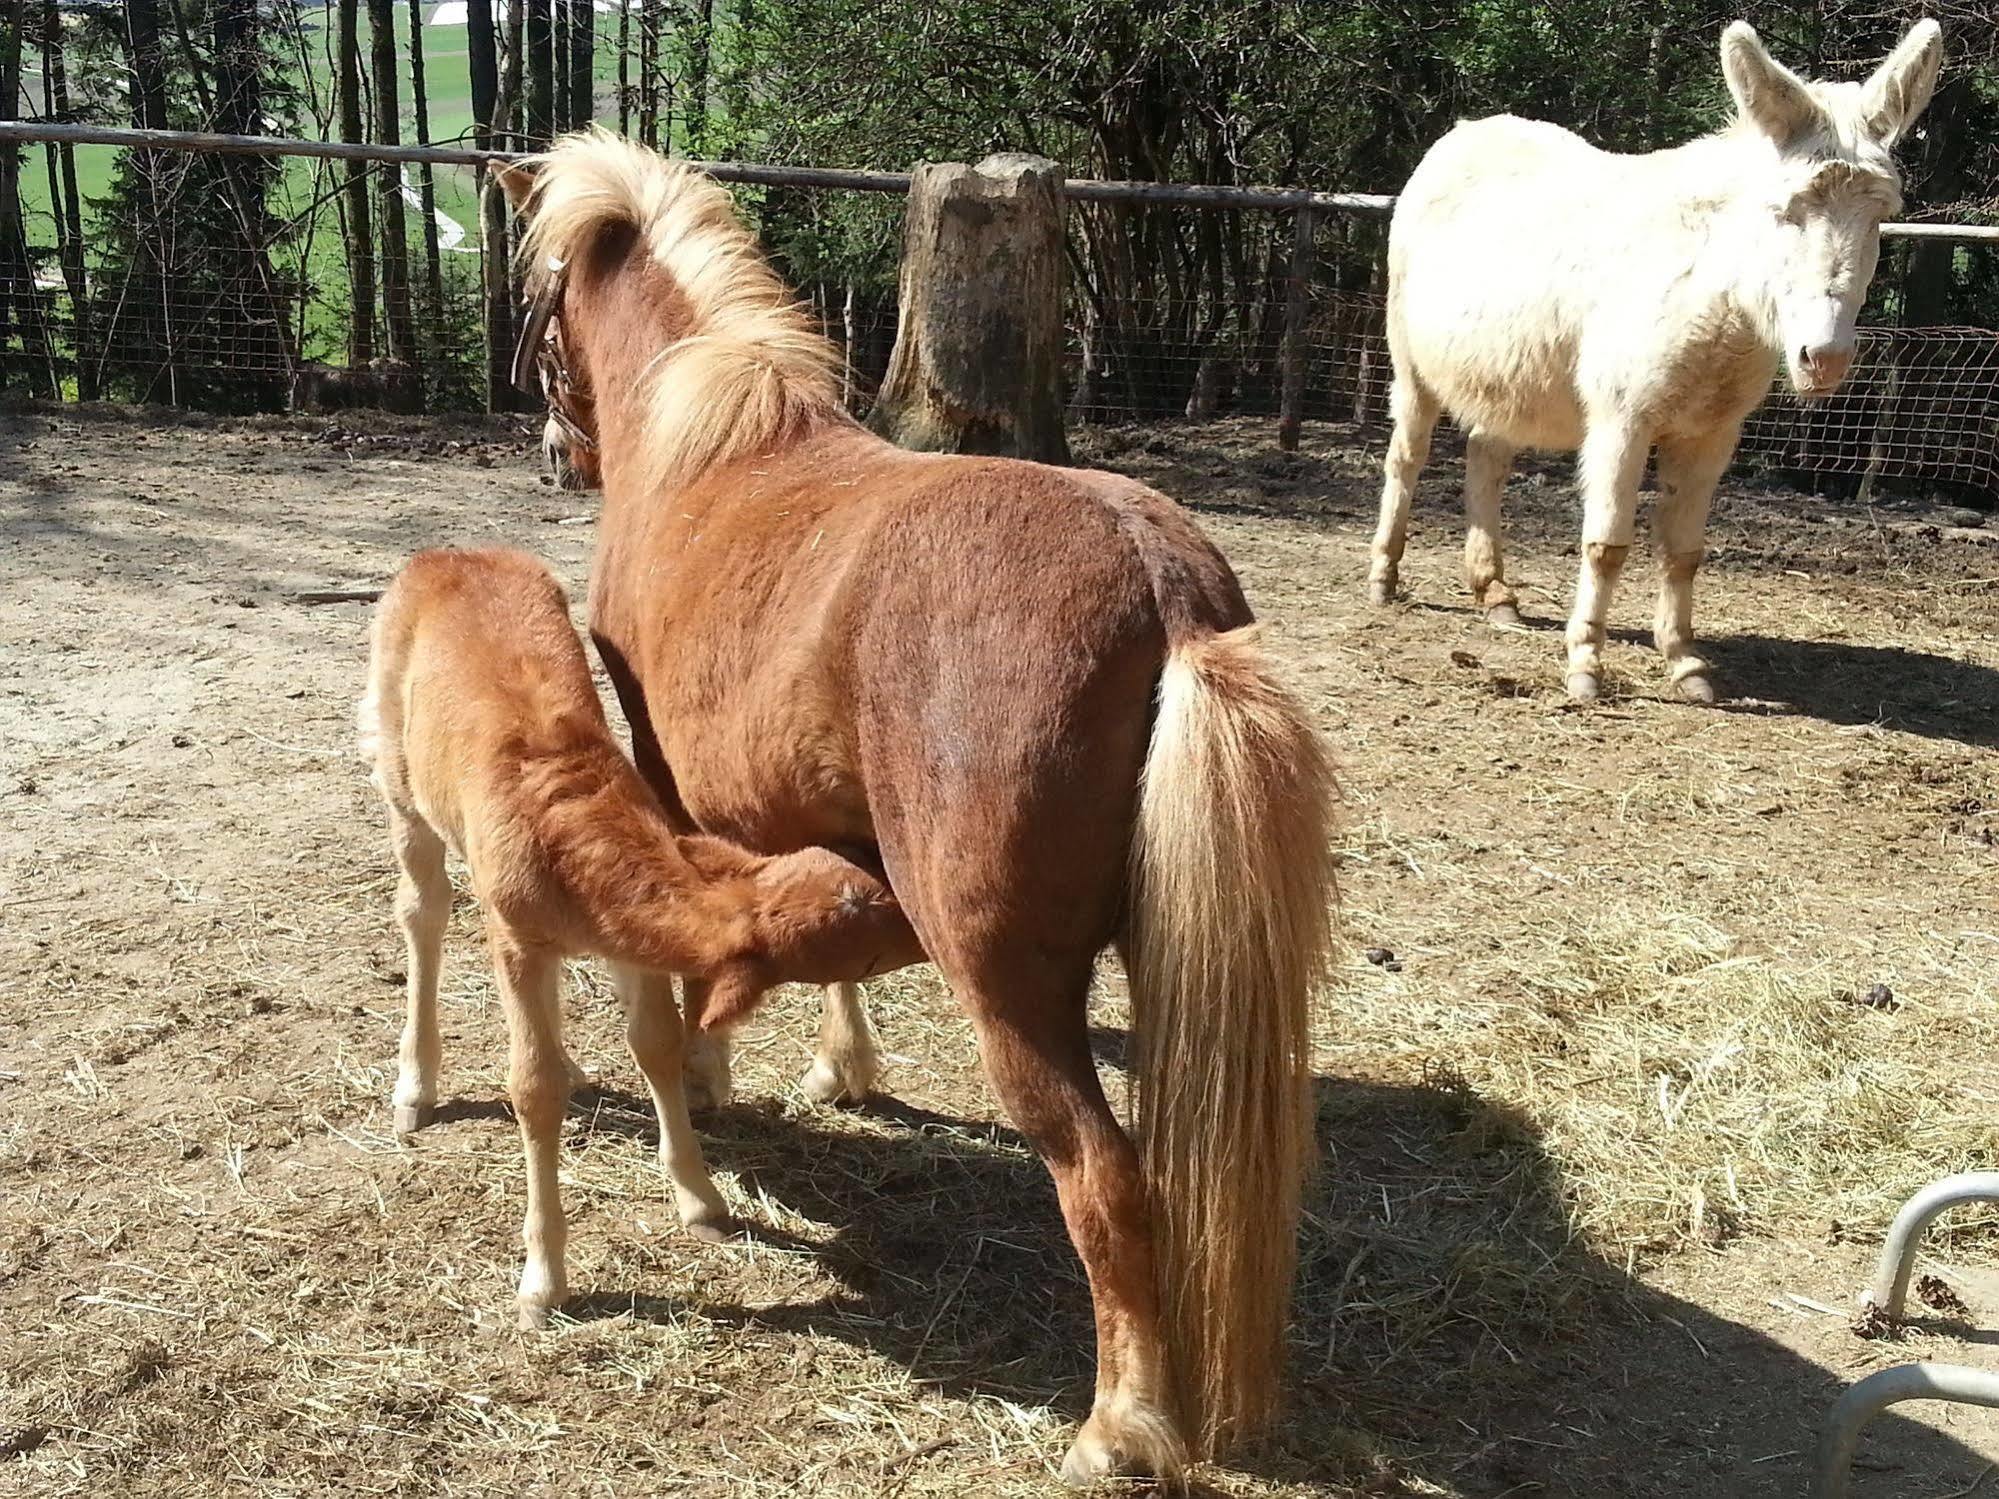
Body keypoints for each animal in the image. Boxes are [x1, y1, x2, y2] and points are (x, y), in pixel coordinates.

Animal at [361, 547, 919, 1327]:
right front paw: (542, 1282)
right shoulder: (516, 936)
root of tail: (442, 555)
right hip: (400, 775)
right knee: (423, 909)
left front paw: (702, 1202)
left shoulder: (628, 948)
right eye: (867, 942)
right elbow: (530, 1085)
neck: (569, 832)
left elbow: (654, 1042)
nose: (925, 919)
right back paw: (414, 1087)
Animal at [499, 131, 1343, 1495]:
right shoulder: (829, 825)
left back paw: (1116, 1425)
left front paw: (709, 1079)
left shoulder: (666, 778)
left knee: (1105, 1179)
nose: (546, 445)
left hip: (1009, 987)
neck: (711, 450)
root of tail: (1162, 586)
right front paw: (840, 1066)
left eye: (534, 301)